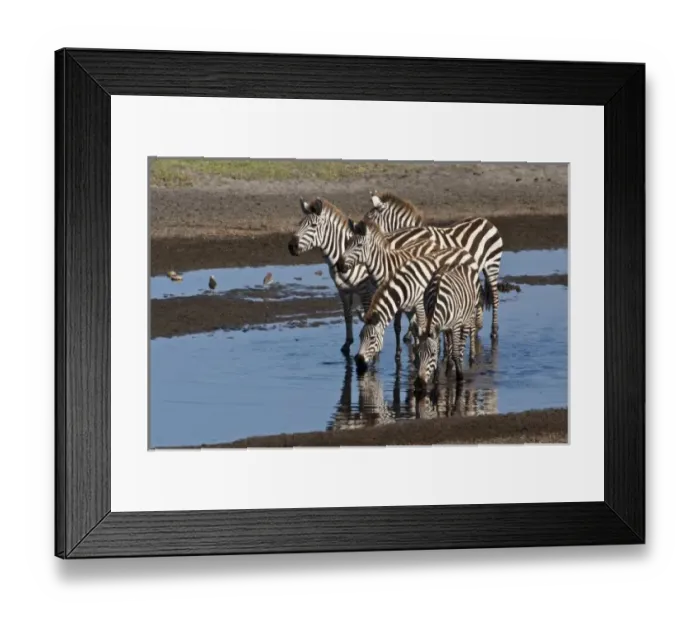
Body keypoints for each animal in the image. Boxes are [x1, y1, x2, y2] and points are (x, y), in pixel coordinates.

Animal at [414, 259, 484, 393]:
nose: (419, 384)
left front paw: (460, 378)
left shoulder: (456, 326)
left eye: (431, 354)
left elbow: (455, 353)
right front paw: (436, 380)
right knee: (449, 342)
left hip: (468, 316)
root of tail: (457, 263)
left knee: (462, 343)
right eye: (418, 354)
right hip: (446, 328)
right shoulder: (437, 327)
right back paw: (449, 366)